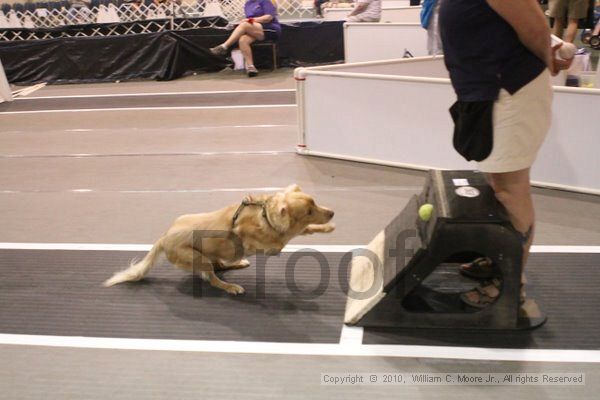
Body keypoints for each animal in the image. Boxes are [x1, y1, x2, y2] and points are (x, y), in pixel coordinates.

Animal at [105, 184, 336, 294]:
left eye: (315, 203)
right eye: (308, 211)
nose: (332, 212)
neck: (264, 215)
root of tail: (163, 237)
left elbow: (304, 230)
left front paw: (326, 227)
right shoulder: (268, 244)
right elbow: (284, 237)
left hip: (208, 252)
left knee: (219, 266)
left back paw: (237, 263)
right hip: (197, 258)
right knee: (213, 278)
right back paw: (231, 287)